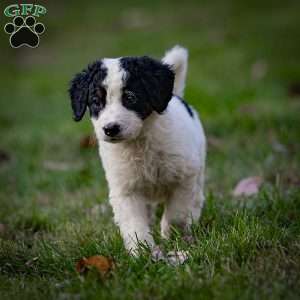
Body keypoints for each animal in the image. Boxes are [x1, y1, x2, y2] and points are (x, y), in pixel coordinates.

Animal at [69, 45, 206, 254]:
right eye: (96, 101)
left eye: (130, 97)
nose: (110, 129)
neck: (139, 143)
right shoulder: (125, 189)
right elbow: (134, 223)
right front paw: (142, 251)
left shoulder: (185, 176)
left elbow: (177, 212)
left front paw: (171, 235)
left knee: (197, 197)